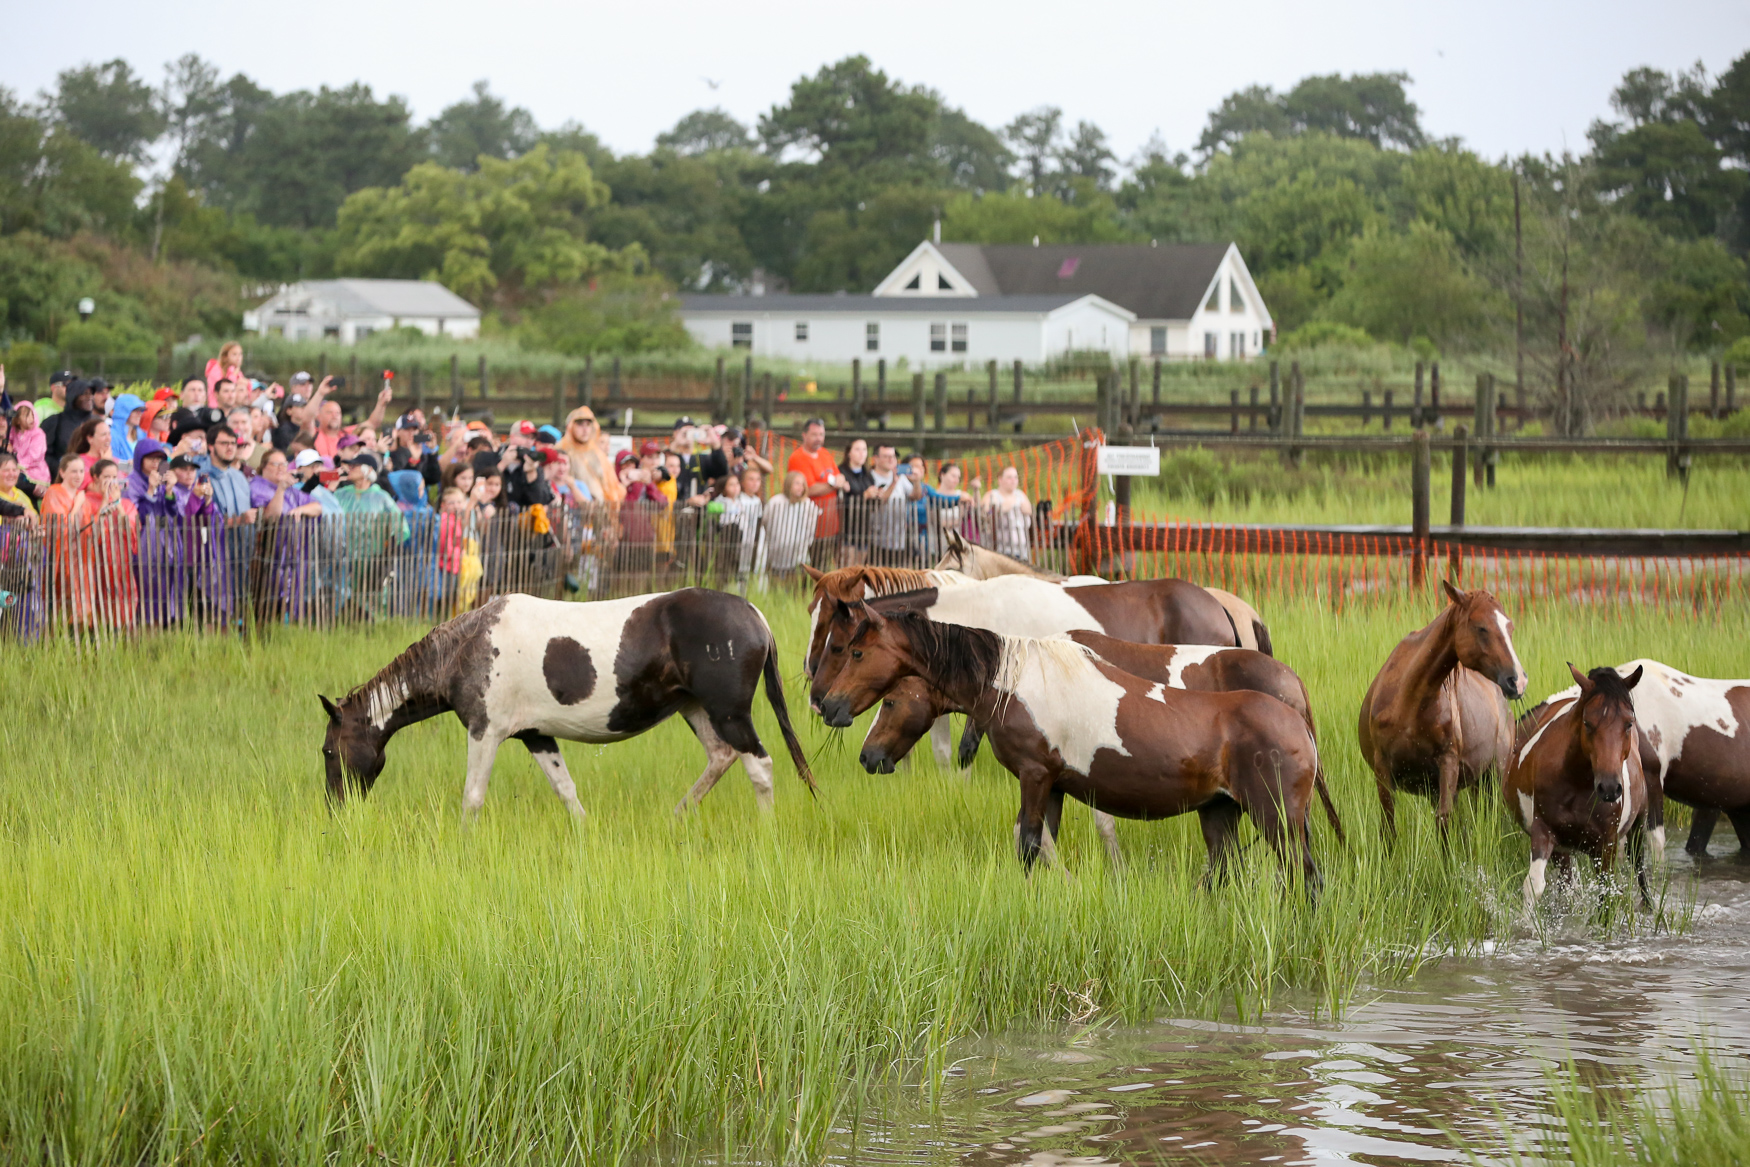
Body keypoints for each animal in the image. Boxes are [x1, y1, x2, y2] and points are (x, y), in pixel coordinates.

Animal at [320, 587, 812, 818]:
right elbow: (566, 790)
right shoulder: (535, 736)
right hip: (696, 709)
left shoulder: (485, 731)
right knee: (721, 757)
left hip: (730, 713)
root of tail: (754, 616)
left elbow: (472, 797)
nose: (336, 808)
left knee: (760, 766)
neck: (465, 649)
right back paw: (677, 817)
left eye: (328, 751)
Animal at [812, 601, 1316, 895]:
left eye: (855, 652)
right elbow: (1037, 842)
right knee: (1225, 872)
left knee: (1305, 878)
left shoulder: (1035, 777)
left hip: (1277, 820)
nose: (829, 707)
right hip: (1220, 813)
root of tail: (1295, 715)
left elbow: (1030, 845)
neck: (1016, 682)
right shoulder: (1053, 785)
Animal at [1351, 580, 1533, 839]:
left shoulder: (1447, 763)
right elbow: (1389, 827)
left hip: (1493, 775)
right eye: (1481, 628)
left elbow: (1443, 819)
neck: (1409, 702)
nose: (1518, 681)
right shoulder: (1383, 770)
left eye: (1510, 628)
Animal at [1505, 661, 1652, 909]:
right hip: (1564, 848)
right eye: (1587, 723)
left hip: (1637, 827)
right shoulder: (1544, 830)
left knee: (1639, 868)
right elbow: (1534, 886)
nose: (1609, 788)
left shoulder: (1607, 843)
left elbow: (1606, 892)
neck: (1577, 784)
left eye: (1629, 723)